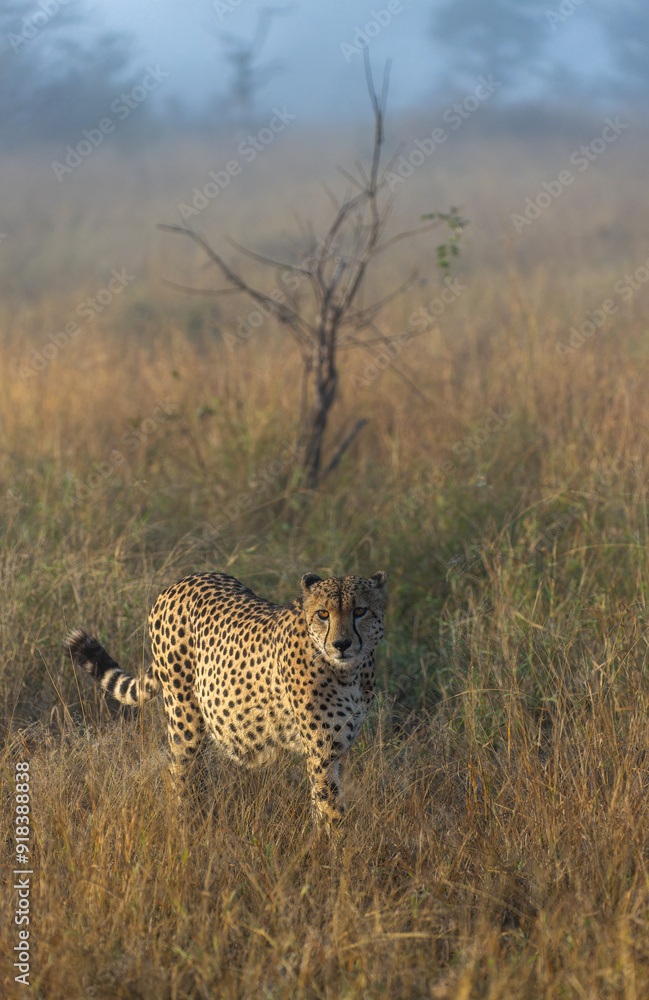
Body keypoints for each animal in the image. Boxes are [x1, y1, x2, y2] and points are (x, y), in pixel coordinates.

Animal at [63, 570, 388, 826]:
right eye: (323, 614)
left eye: (360, 611)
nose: (341, 644)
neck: (350, 671)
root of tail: (183, 580)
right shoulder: (322, 751)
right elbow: (331, 809)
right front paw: (333, 857)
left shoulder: (338, 749)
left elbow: (326, 803)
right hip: (185, 720)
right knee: (181, 776)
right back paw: (186, 828)